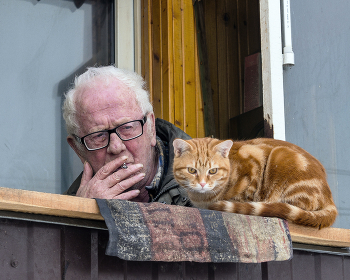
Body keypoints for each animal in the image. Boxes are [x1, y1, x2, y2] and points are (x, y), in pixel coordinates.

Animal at [174, 137, 338, 229]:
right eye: (191, 170)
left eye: (213, 171)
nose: (202, 184)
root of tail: (329, 197)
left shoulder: (255, 160)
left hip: (281, 156)